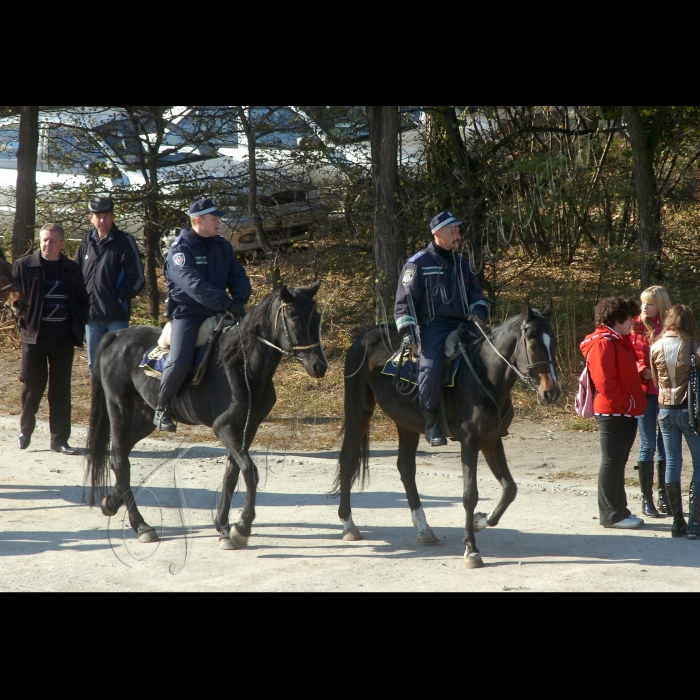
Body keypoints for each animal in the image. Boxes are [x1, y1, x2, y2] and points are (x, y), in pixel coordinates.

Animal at [86, 278, 326, 548]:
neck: (241, 365)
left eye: (316, 317)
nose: (319, 366)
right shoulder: (224, 427)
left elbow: (232, 472)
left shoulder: (248, 427)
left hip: (146, 417)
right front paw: (242, 527)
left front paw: (223, 526)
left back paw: (111, 502)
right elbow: (249, 470)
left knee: (121, 457)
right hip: (119, 408)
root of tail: (118, 336)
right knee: (120, 461)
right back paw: (141, 526)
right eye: (295, 318)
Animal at [336, 300, 560, 568]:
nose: (551, 392)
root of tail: (363, 338)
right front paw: (471, 549)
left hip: (407, 423)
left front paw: (480, 521)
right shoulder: (470, 442)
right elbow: (469, 495)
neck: (484, 374)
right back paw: (349, 525)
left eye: (554, 343)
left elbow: (509, 489)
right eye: (533, 345)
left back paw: (424, 529)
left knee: (405, 467)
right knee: (348, 460)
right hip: (358, 412)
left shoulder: (491, 440)